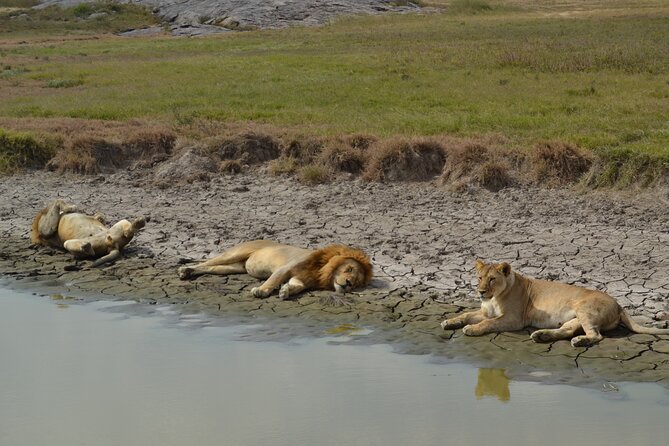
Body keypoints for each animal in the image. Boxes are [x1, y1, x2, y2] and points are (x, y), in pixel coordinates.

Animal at [178, 240, 373, 299]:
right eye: (349, 269)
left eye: (356, 282)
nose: (348, 284)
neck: (321, 271)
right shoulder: (285, 268)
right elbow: (272, 280)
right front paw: (261, 291)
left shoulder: (301, 279)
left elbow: (297, 286)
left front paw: (285, 291)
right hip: (233, 254)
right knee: (205, 262)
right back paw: (184, 269)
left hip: (233, 268)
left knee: (210, 266)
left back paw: (189, 272)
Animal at [440, 260, 669, 347]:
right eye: (479, 278)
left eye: (492, 279)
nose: (480, 291)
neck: (494, 298)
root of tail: (620, 304)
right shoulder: (485, 311)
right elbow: (466, 314)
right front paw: (449, 322)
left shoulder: (514, 319)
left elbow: (487, 323)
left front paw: (471, 329)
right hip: (576, 318)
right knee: (567, 330)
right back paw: (541, 336)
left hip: (584, 309)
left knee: (596, 336)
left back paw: (579, 341)